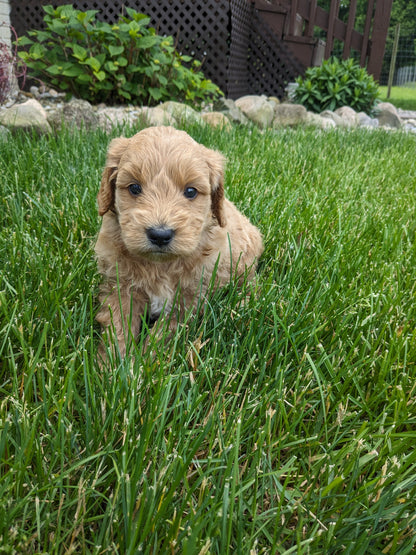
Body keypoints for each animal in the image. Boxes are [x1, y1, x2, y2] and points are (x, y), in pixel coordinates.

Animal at [96, 126, 262, 358]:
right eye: (134, 188)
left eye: (190, 191)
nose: (160, 234)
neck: (160, 266)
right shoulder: (120, 287)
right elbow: (118, 326)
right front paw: (114, 363)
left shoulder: (188, 300)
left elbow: (163, 335)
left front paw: (146, 362)